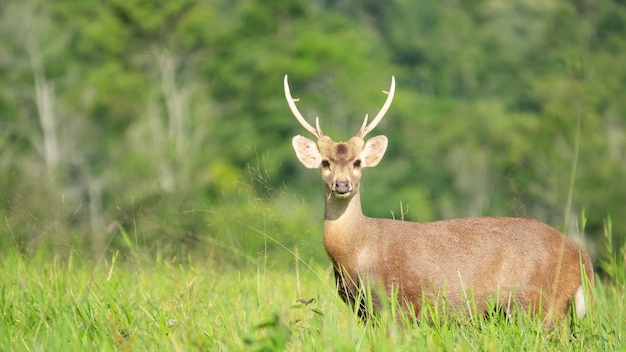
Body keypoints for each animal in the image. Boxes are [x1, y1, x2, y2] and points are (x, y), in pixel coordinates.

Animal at [286, 75, 592, 328]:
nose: (342, 184)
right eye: (325, 162)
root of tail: (582, 258)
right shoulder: (362, 310)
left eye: (358, 162)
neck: (355, 253)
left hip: (540, 303)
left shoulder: (395, 304)